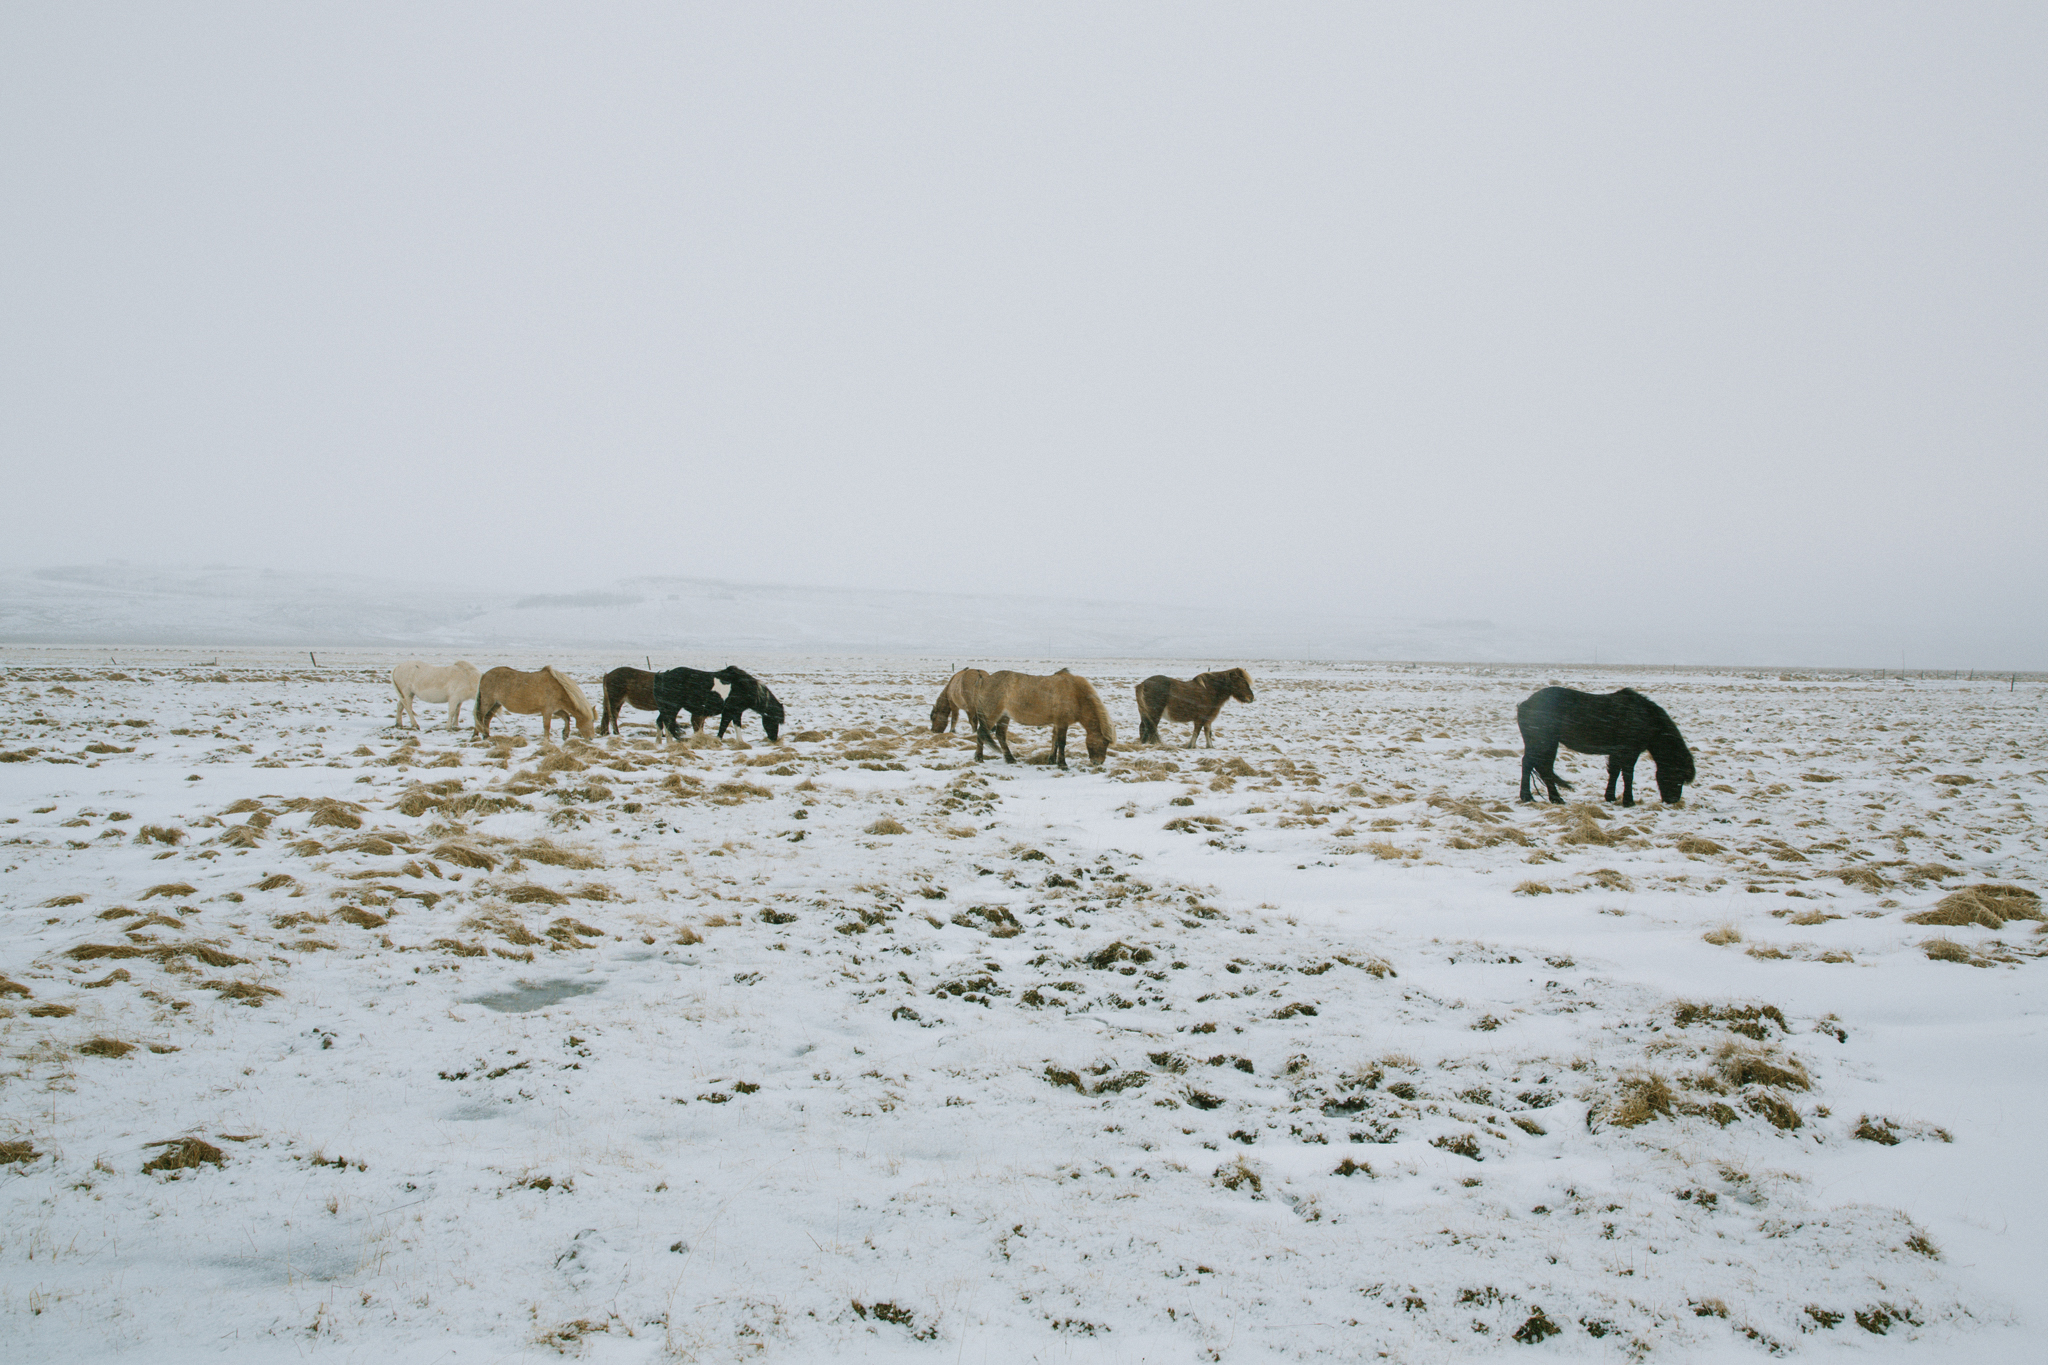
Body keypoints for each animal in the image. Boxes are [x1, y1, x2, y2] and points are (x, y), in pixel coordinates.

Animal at [650, 665, 784, 742]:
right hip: (672, 707)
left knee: (662, 723)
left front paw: (740, 743)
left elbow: (736, 726)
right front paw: (719, 740)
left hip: (666, 708)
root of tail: (663, 675)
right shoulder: (729, 711)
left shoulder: (736, 712)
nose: (774, 738)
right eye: (774, 720)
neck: (743, 686)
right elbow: (724, 726)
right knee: (668, 723)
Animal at [972, 669, 1115, 769]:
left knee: (1000, 735)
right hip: (991, 715)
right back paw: (979, 758)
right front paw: (1062, 764)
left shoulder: (1057, 723)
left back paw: (1009, 759)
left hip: (1004, 717)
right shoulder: (1062, 723)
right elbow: (1062, 743)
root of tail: (984, 680)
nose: (1098, 762)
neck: (1075, 693)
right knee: (981, 732)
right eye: (1104, 742)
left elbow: (1054, 741)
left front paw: (1051, 760)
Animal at [1516, 686, 1695, 806]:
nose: (1673, 801)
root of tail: (1525, 704)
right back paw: (1539, 797)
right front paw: (1628, 801)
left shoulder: (1617, 751)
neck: (1645, 717)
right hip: (1545, 743)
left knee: (1537, 765)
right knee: (1537, 766)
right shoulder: (1630, 752)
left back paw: (1545, 797)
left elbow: (1614, 772)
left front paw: (1610, 797)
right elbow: (1628, 775)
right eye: (1678, 776)